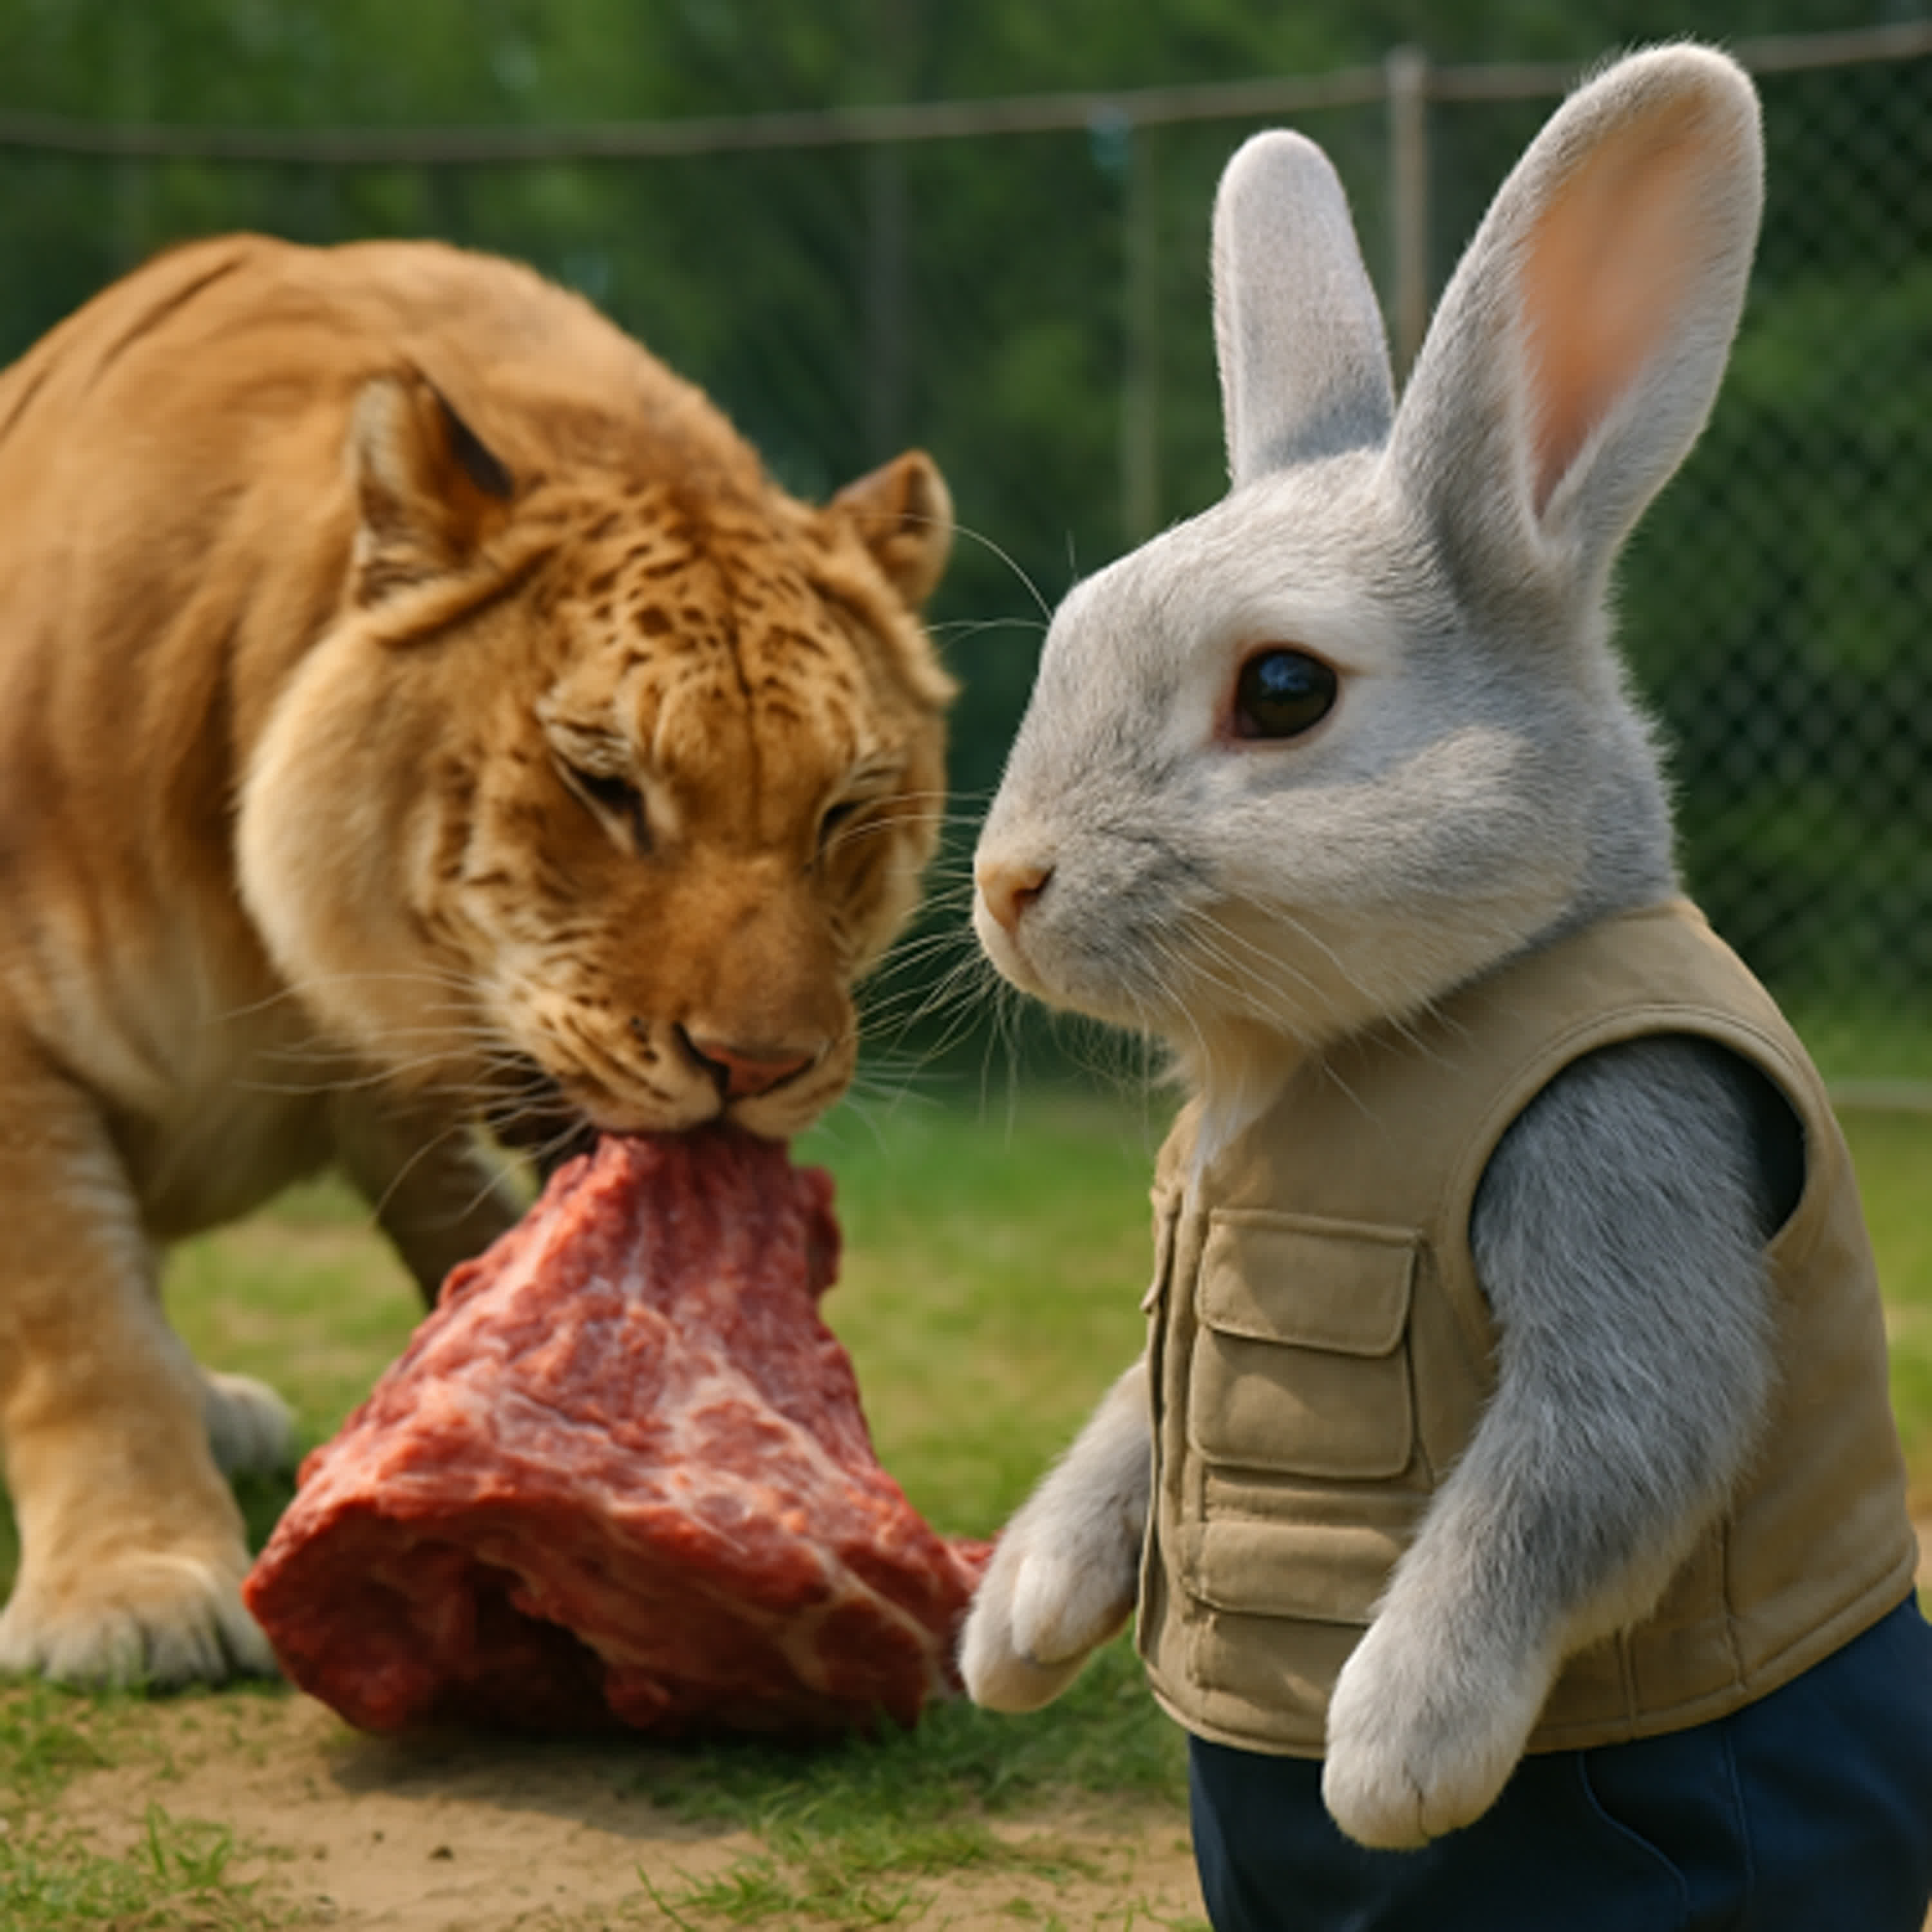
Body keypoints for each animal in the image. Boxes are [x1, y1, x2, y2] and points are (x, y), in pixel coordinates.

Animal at [0, 234, 954, 1687]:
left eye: (843, 811)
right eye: (605, 785)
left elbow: (471, 1238)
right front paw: (134, 1589)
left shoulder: (400, 1100)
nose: (755, 1066)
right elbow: (78, 1323)